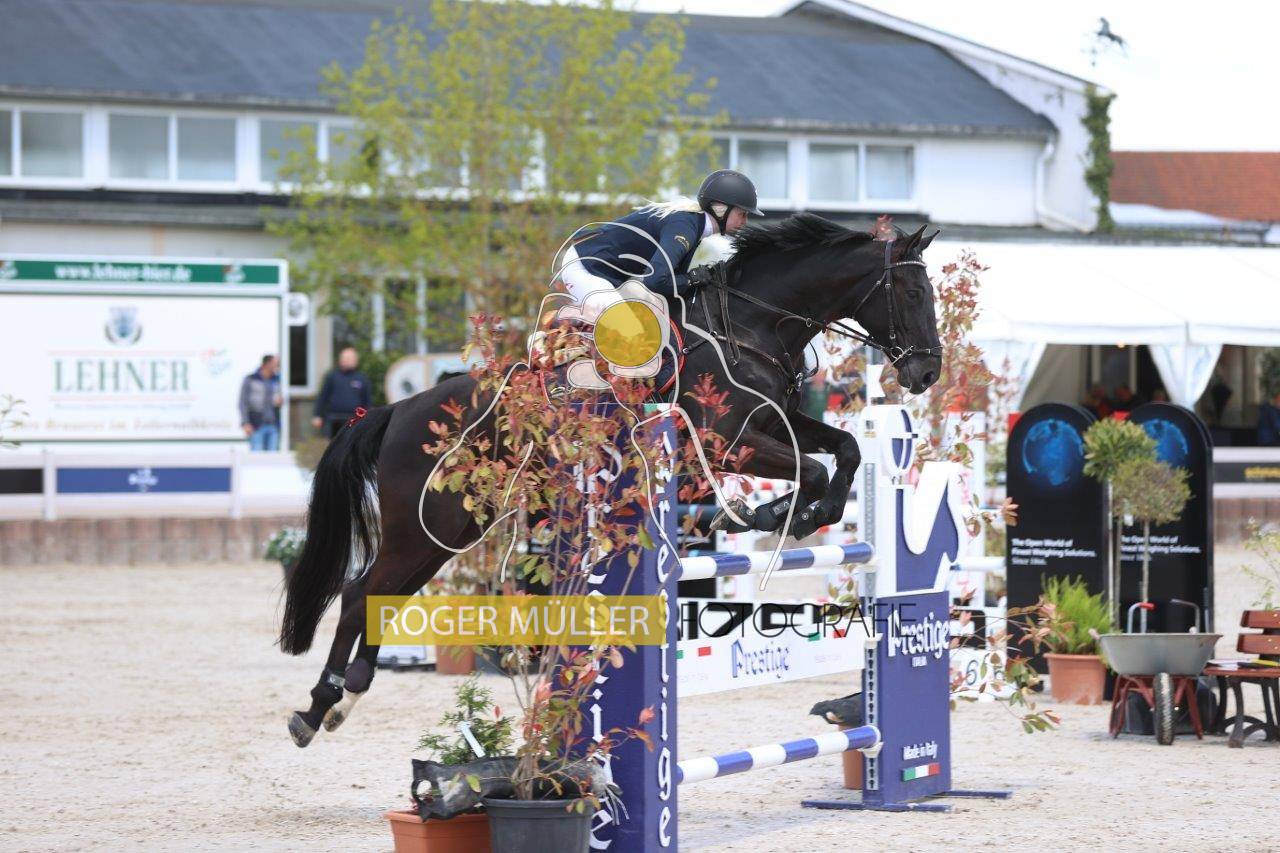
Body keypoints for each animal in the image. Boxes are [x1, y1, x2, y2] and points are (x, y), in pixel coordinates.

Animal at [279, 212, 941, 747]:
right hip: (425, 525)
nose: (928, 373)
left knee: (381, 597)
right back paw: (315, 710)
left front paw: (798, 514)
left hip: (452, 526)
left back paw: (342, 700)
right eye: (910, 290)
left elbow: (844, 449)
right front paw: (781, 514)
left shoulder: (776, 424)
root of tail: (398, 409)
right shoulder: (730, 442)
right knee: (360, 594)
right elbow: (814, 467)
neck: (751, 327)